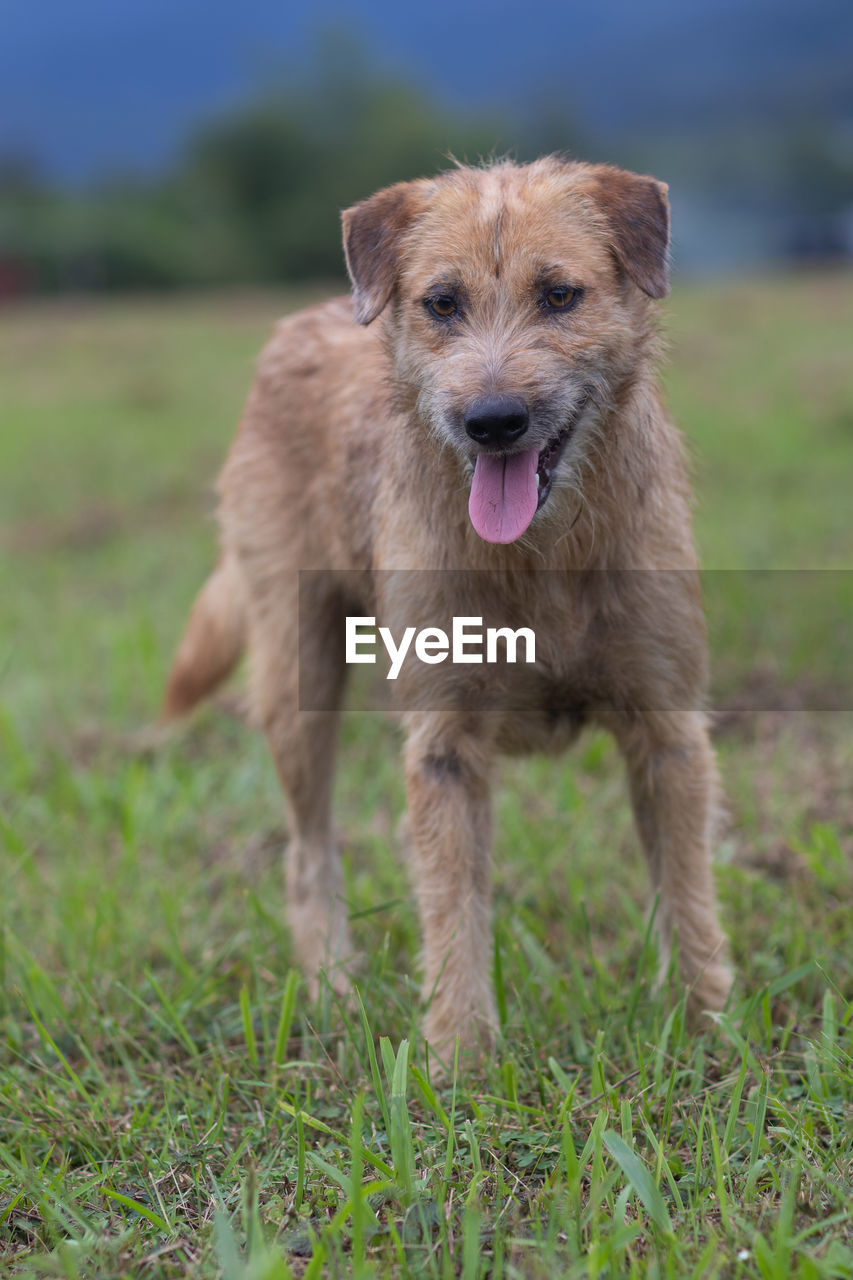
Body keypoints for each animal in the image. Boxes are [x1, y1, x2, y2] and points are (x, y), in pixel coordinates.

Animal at [161, 160, 732, 1059]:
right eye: (440, 303)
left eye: (559, 295)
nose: (492, 421)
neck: (542, 557)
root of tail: (298, 323)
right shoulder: (445, 748)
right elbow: (453, 906)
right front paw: (460, 1055)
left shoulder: (667, 730)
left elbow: (685, 893)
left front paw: (706, 1030)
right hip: (297, 679)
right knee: (307, 853)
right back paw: (333, 992)